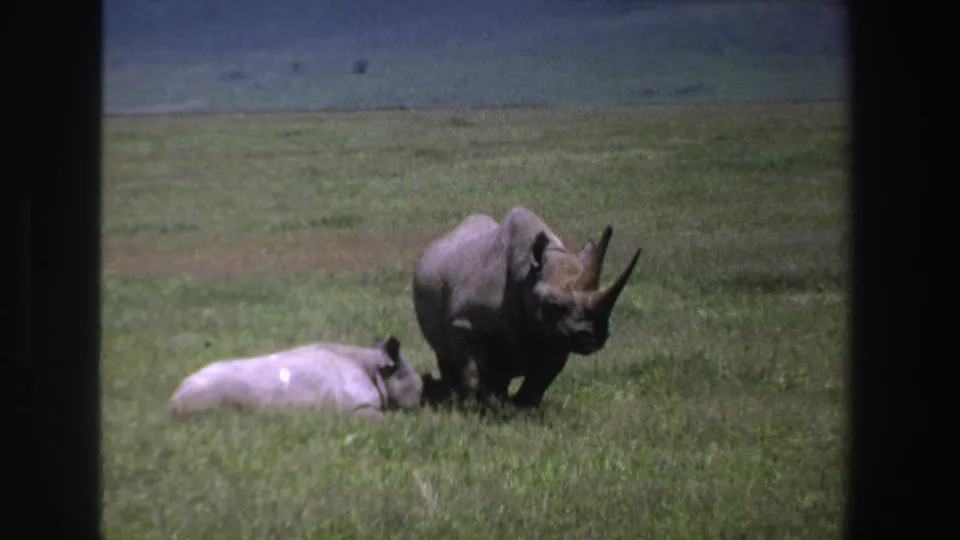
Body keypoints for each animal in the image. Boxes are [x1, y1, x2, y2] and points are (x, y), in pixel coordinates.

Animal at [412, 207, 643, 409]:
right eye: (553, 304)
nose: (593, 336)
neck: (528, 276)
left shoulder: (557, 335)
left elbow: (538, 382)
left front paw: (523, 413)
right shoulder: (465, 324)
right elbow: (472, 373)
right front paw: (474, 409)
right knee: (448, 356)